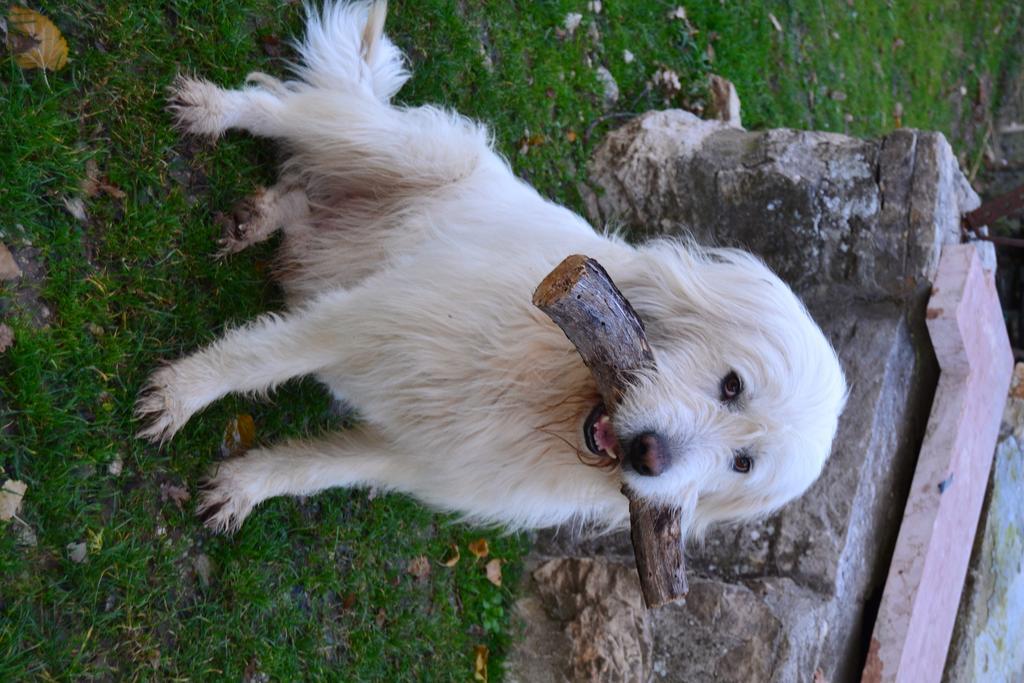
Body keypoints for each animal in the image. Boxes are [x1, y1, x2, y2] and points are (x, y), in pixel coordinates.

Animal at [136, 1, 847, 540]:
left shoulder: (411, 459)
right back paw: (213, 109)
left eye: (742, 464)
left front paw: (245, 485)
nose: (651, 456)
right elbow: (253, 360)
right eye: (732, 385)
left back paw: (257, 218)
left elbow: (313, 466)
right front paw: (181, 395)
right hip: (407, 150)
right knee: (291, 109)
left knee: (300, 194)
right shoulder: (363, 320)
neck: (550, 389)